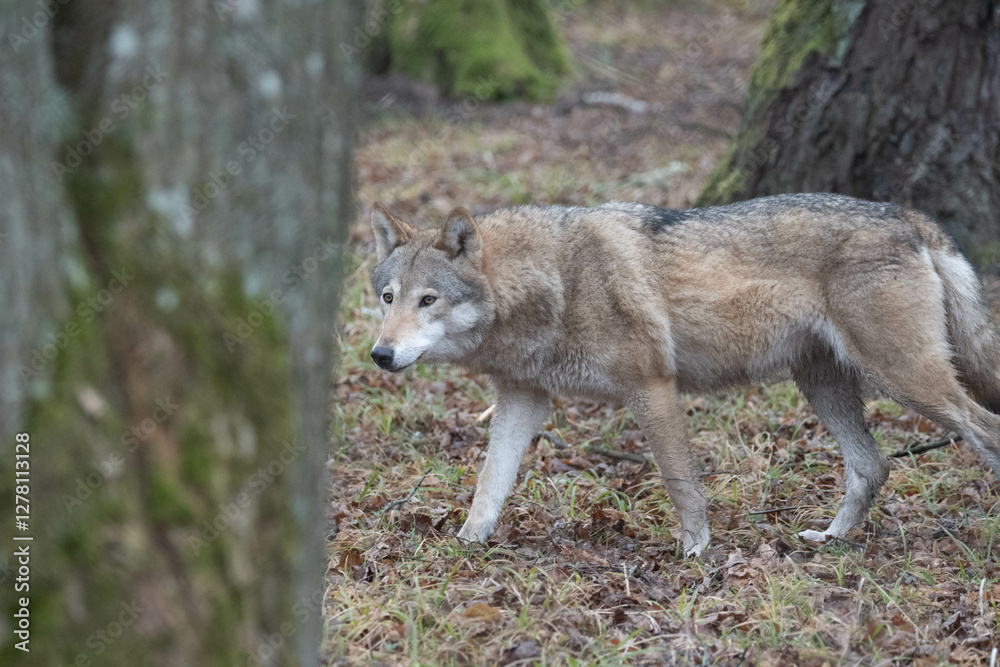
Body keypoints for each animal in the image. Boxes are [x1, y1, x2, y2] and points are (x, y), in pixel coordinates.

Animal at [366, 194, 1000, 560]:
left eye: (428, 300)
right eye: (388, 297)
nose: (379, 354)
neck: (554, 281)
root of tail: (910, 217)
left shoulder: (651, 388)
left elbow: (681, 485)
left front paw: (696, 554)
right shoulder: (523, 399)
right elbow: (489, 484)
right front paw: (467, 545)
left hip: (903, 379)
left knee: (984, 429)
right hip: (826, 386)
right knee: (874, 466)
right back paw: (829, 540)